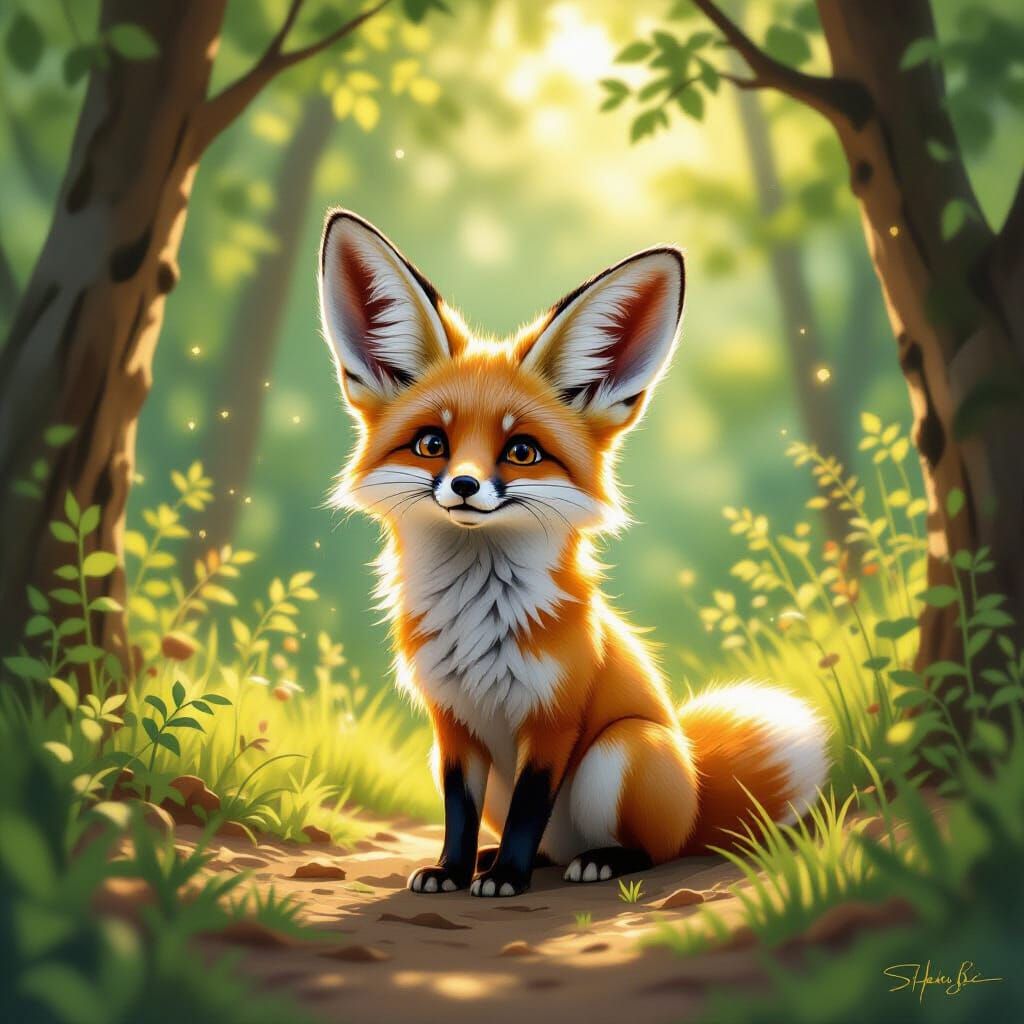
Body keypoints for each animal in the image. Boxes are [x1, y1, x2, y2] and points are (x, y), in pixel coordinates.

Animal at [317, 210, 829, 897]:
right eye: (431, 444)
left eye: (522, 452)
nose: (465, 486)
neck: (478, 624)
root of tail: (696, 793)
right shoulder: (452, 725)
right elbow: (458, 812)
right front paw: (454, 869)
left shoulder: (553, 719)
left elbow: (530, 809)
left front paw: (505, 878)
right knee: (546, 842)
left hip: (624, 749)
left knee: (654, 850)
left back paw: (601, 860)